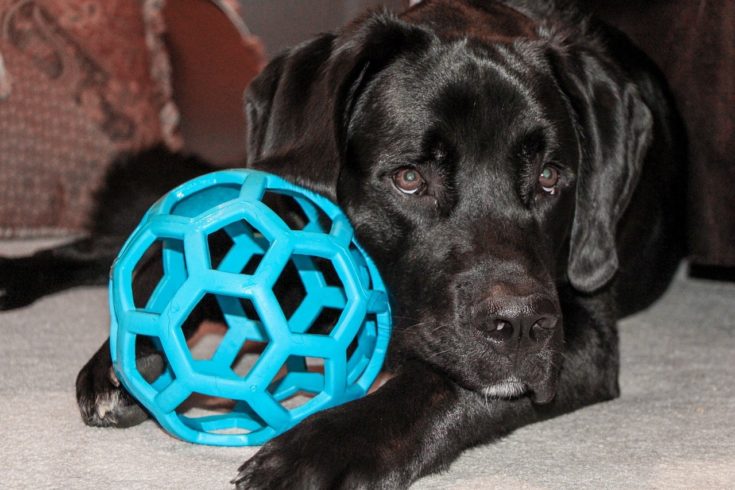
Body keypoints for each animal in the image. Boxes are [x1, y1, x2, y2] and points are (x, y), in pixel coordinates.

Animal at [2, 1, 688, 488]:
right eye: (409, 178)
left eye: (550, 178)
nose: (520, 326)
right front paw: (134, 355)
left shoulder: (583, 333)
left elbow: (441, 383)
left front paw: (323, 447)